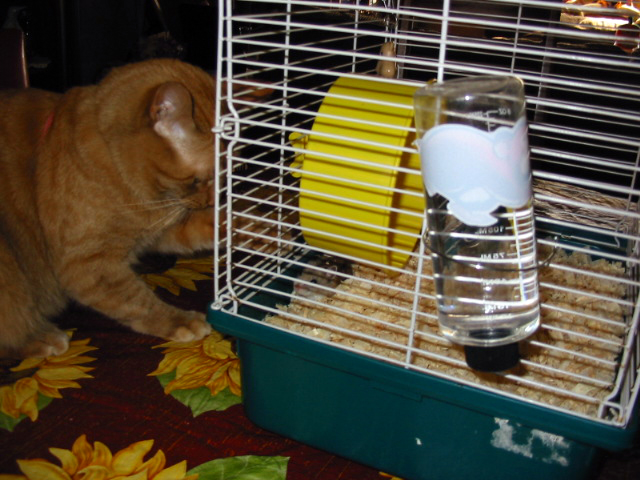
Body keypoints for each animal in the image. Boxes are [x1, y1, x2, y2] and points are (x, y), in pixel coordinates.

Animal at [0, 60, 216, 358]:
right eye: (202, 179)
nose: (211, 201)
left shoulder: (161, 230)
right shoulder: (87, 264)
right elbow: (136, 300)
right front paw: (179, 321)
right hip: (9, 270)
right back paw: (42, 338)